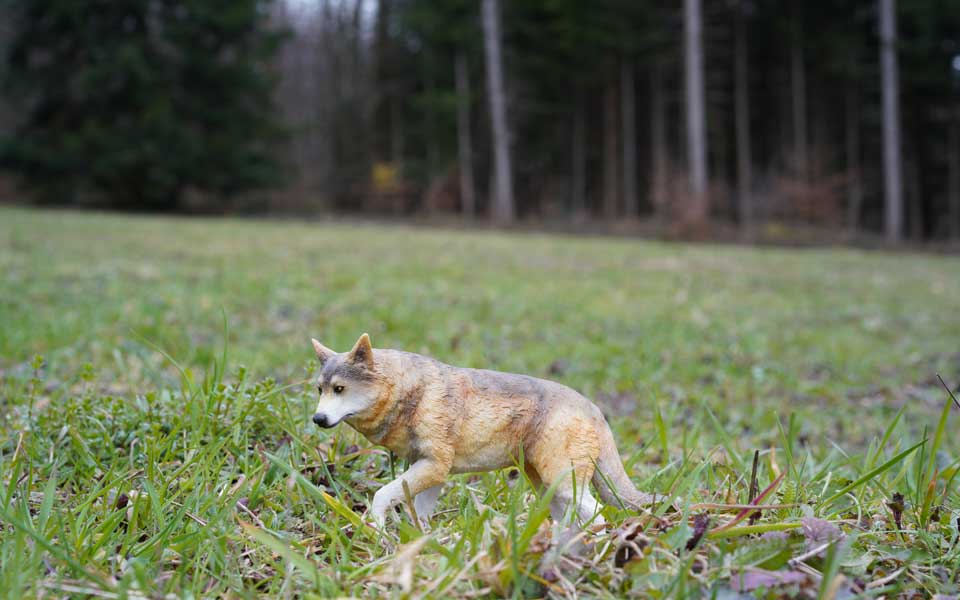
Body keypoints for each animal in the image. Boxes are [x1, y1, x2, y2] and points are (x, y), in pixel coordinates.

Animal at [310, 333, 656, 529]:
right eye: (319, 390)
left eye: (340, 389)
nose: (317, 418)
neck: (411, 393)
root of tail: (593, 407)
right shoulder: (433, 470)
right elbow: (418, 512)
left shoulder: (434, 466)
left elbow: (382, 495)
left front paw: (377, 530)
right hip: (547, 487)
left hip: (563, 485)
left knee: (599, 516)